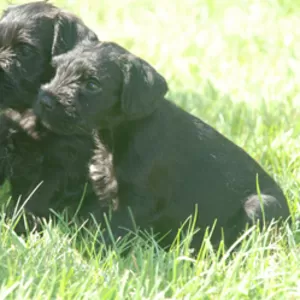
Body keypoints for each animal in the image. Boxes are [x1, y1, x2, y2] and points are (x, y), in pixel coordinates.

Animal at [35, 41, 290, 248]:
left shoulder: (136, 201)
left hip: (262, 205)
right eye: (57, 70)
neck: (120, 134)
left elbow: (114, 232)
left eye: (92, 84)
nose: (44, 100)